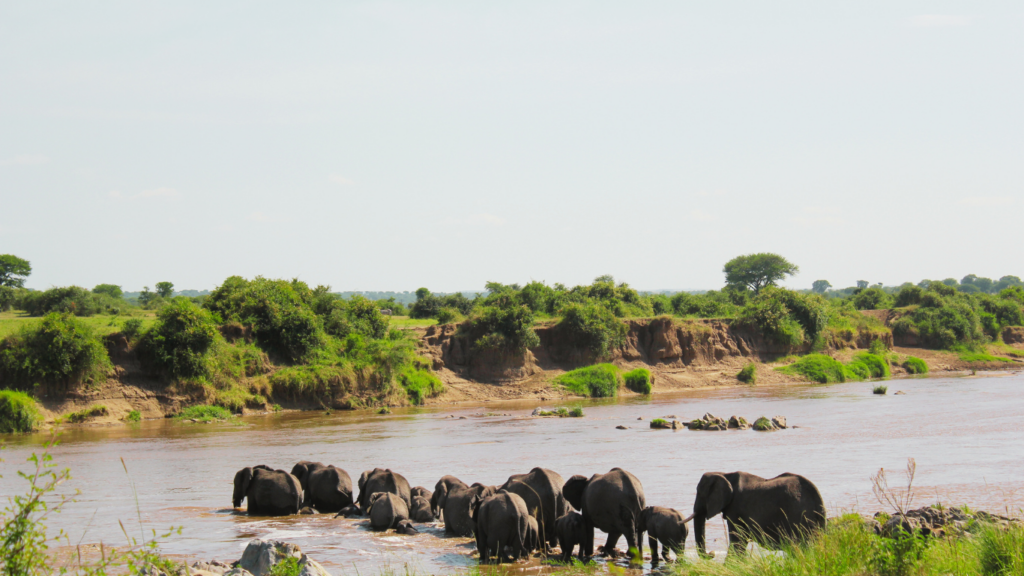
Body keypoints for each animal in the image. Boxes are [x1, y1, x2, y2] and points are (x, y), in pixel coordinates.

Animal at [692, 469, 827, 553]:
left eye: (699, 493)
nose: (712, 553)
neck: (724, 474)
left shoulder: (736, 508)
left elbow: (738, 542)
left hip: (797, 516)